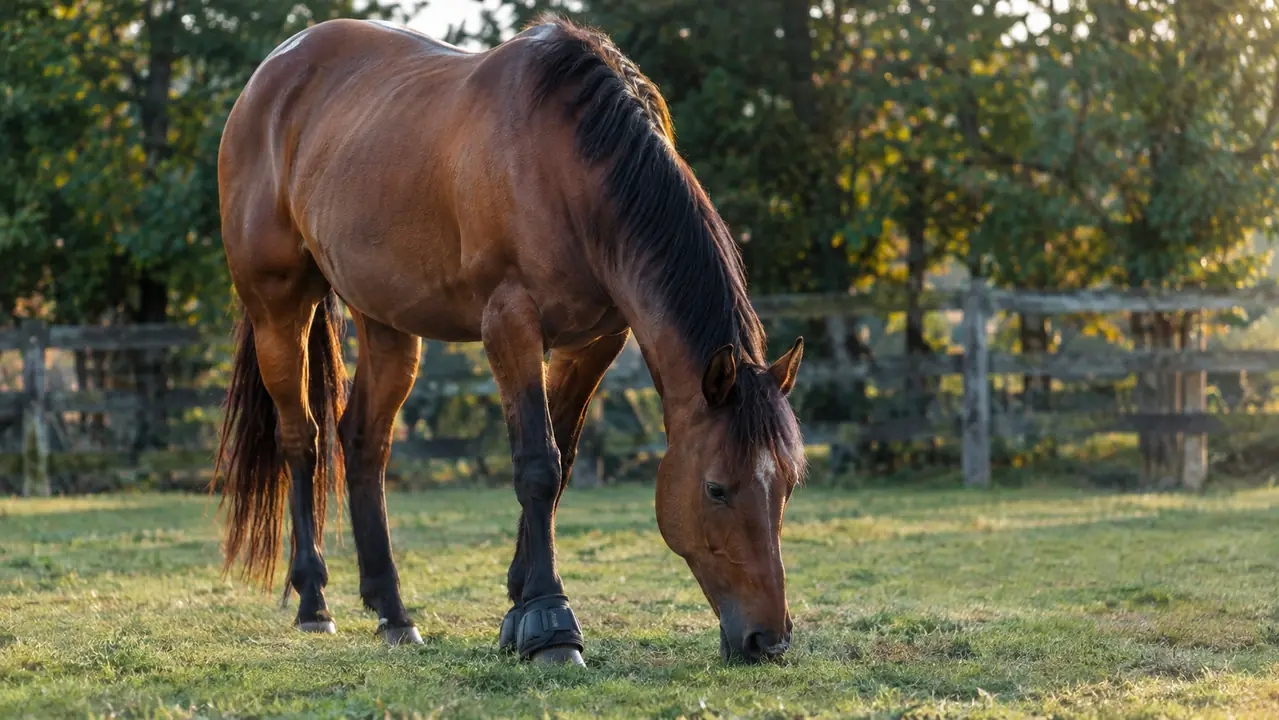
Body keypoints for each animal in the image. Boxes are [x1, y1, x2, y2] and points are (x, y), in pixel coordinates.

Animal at [214, 15, 806, 666]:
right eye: (716, 489)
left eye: (787, 484)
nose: (767, 639)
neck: (566, 165)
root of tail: (274, 72)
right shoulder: (509, 322)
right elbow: (537, 466)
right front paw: (550, 623)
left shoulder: (593, 342)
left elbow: (562, 461)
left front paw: (519, 604)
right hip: (278, 309)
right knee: (302, 439)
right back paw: (314, 602)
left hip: (387, 322)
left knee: (364, 442)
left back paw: (393, 612)